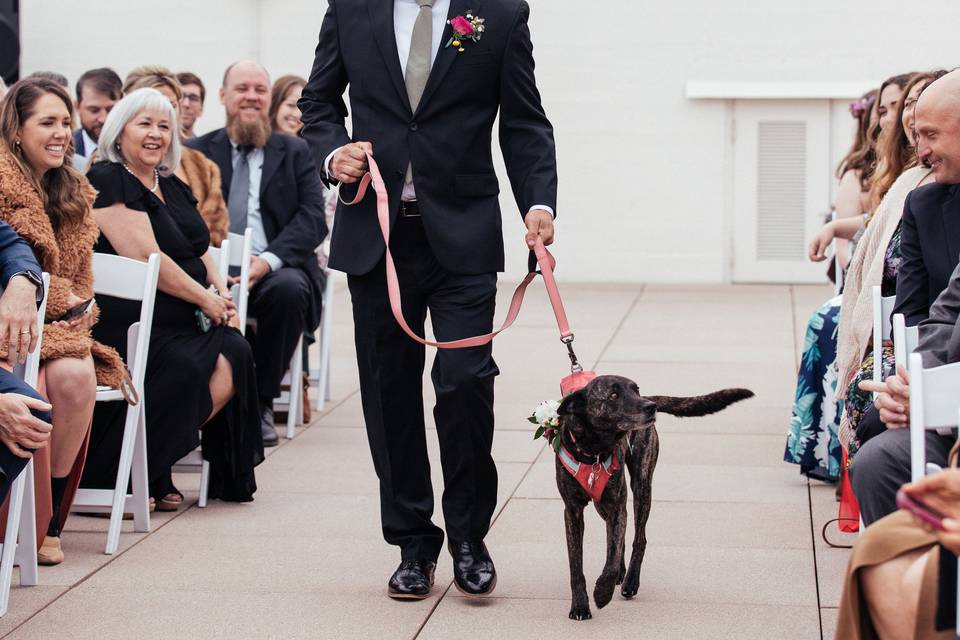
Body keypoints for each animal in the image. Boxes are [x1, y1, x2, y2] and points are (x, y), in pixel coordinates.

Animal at [556, 376, 752, 620]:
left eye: (635, 390)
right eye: (613, 395)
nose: (650, 406)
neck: (594, 450)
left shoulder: (617, 506)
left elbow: (612, 560)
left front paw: (602, 593)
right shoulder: (573, 511)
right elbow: (577, 564)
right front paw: (580, 605)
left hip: (642, 486)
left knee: (639, 539)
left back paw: (630, 581)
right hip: (603, 504)